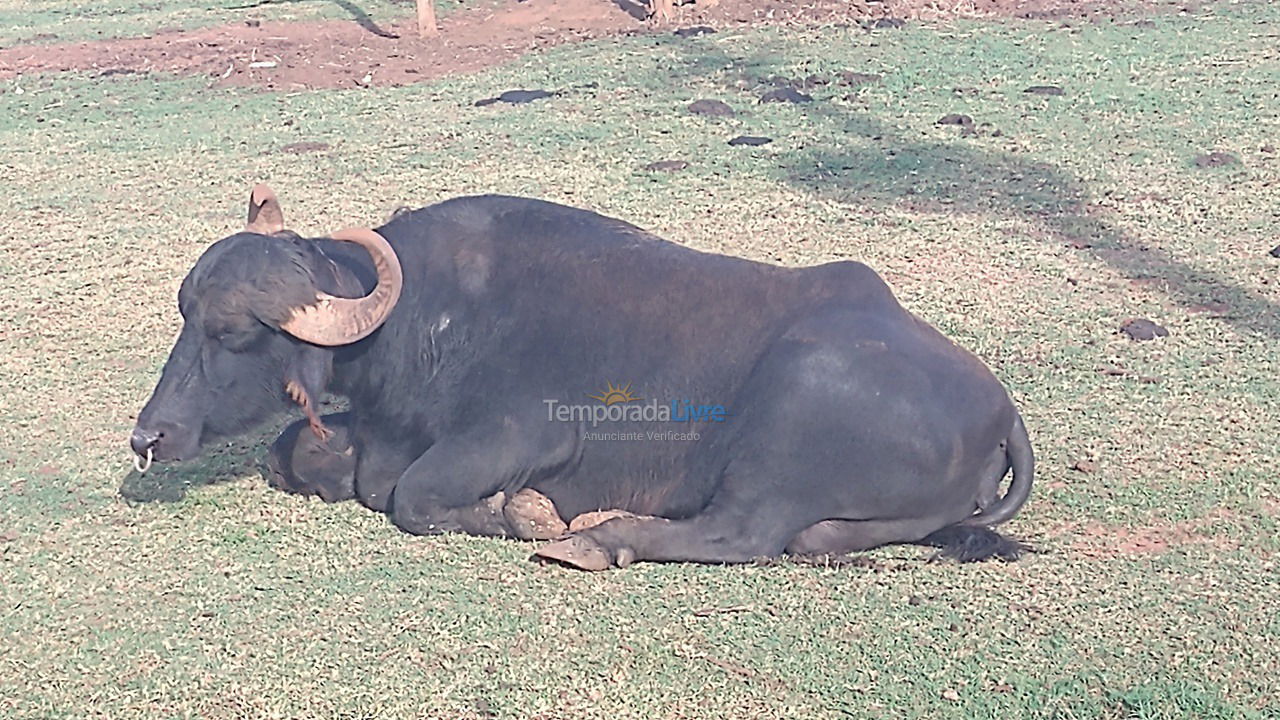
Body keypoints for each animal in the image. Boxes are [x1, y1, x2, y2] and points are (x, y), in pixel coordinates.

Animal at [129, 188, 1029, 568]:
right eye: (183, 311)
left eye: (232, 330)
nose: (148, 437)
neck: (423, 317)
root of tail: (998, 408)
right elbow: (309, 455)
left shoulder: (526, 432)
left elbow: (409, 495)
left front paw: (520, 514)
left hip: (789, 418)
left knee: (742, 534)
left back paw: (595, 537)